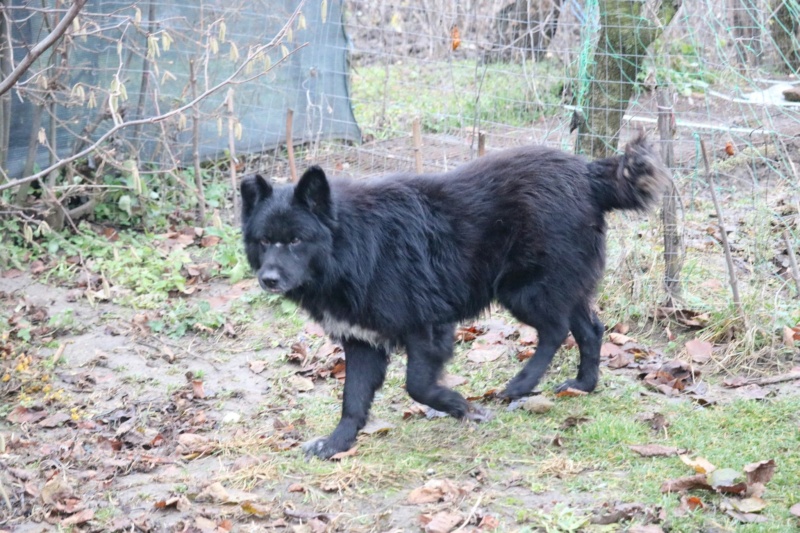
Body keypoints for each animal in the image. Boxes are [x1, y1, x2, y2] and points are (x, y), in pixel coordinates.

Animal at [242, 133, 668, 458]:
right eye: (263, 241)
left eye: (296, 240)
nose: (269, 279)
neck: (354, 246)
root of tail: (586, 172)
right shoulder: (363, 342)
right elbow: (353, 401)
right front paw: (336, 444)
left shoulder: (428, 327)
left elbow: (417, 386)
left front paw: (462, 408)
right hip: (559, 286)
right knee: (590, 330)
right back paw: (583, 385)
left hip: (525, 290)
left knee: (555, 331)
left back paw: (520, 385)